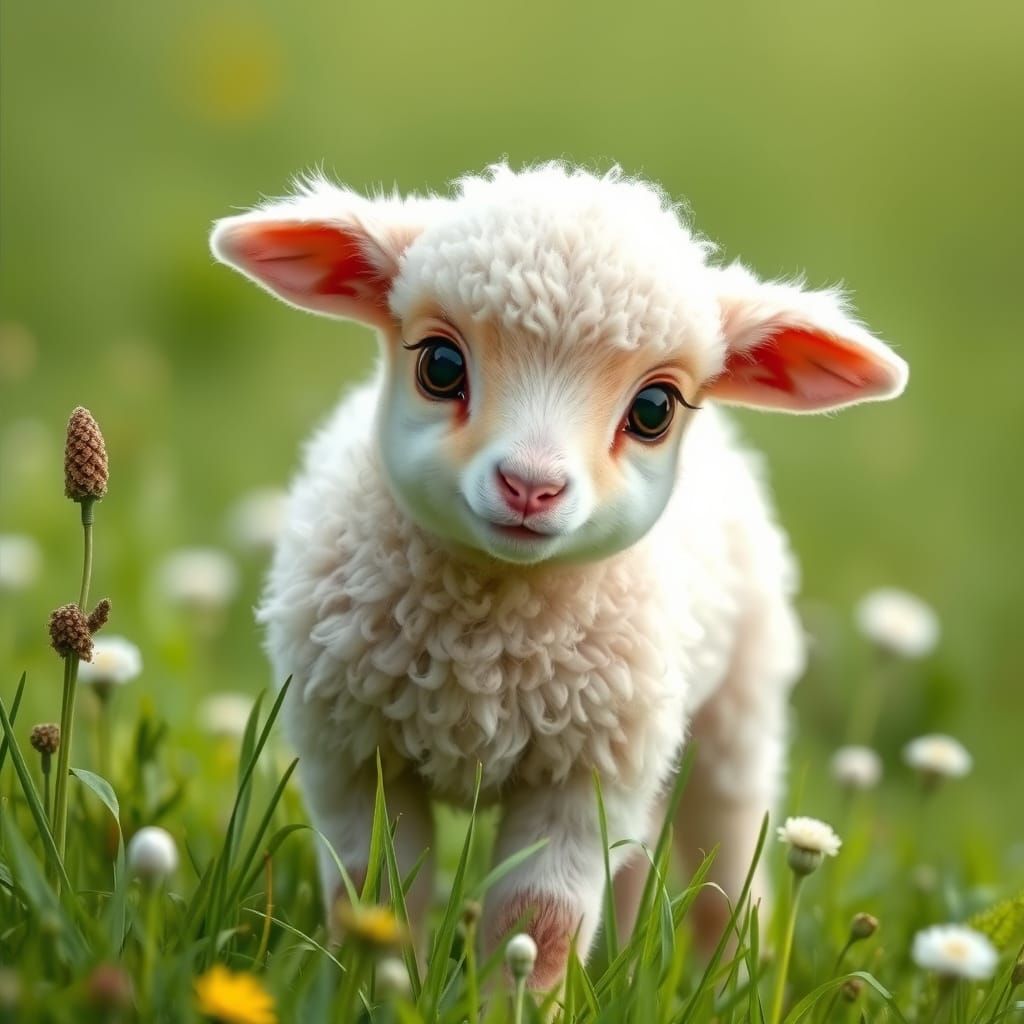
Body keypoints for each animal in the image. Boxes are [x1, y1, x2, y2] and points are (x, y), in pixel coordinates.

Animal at [210, 162, 907, 989]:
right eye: (440, 365)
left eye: (653, 409)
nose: (530, 485)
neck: (485, 651)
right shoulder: (350, 753)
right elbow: (373, 895)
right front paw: (374, 988)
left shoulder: (584, 776)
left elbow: (538, 925)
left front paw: (510, 999)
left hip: (736, 715)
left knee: (727, 865)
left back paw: (729, 977)